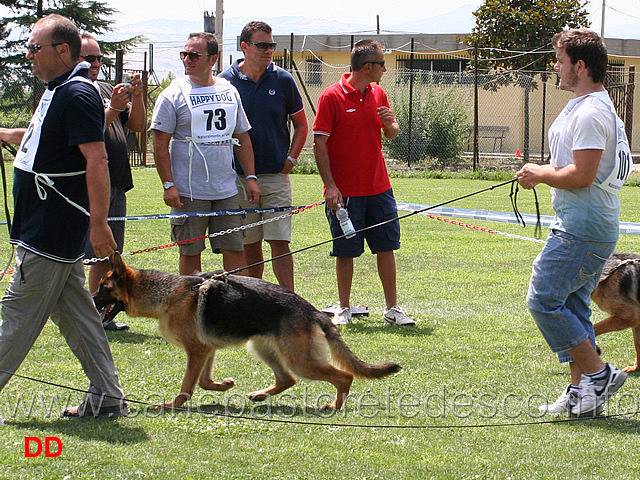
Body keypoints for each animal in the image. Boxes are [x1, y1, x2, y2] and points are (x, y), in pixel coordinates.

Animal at [93, 251, 402, 408]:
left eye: (102, 289)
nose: (90, 299)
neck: (172, 295)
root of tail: (312, 310)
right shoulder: (206, 350)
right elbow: (203, 381)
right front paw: (224, 385)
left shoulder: (197, 350)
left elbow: (187, 385)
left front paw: (172, 405)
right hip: (263, 348)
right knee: (287, 379)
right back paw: (260, 395)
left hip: (299, 359)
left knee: (343, 376)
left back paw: (334, 406)